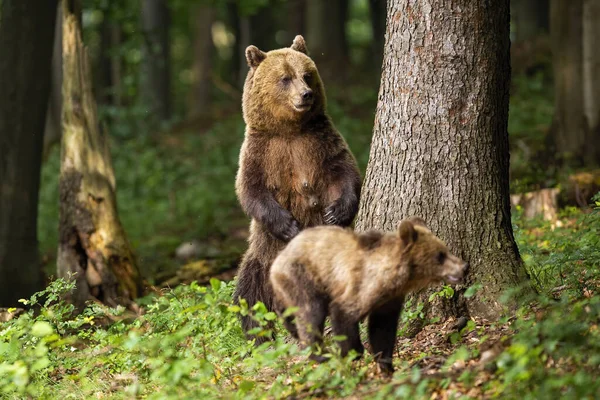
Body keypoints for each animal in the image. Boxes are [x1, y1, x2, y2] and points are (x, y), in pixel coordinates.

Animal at [232, 35, 358, 340]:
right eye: (285, 78)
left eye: (307, 75)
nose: (306, 94)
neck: (289, 130)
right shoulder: (260, 152)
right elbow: (251, 190)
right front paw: (288, 225)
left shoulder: (320, 143)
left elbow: (345, 171)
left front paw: (336, 212)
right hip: (264, 258)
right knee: (249, 297)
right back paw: (260, 333)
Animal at [268, 217, 468, 374]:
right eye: (440, 255)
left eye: (445, 249)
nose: (464, 267)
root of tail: (277, 260)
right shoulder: (359, 287)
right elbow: (344, 317)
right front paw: (353, 353)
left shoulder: (389, 301)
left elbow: (382, 330)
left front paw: (386, 365)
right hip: (303, 276)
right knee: (310, 313)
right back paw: (320, 354)